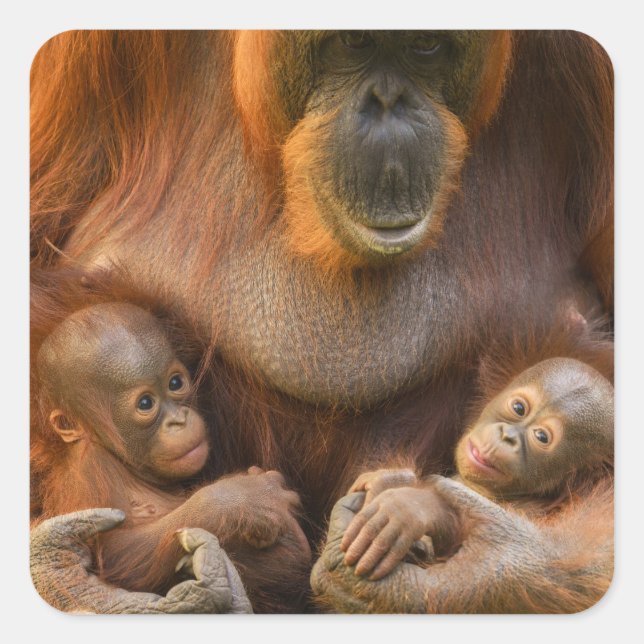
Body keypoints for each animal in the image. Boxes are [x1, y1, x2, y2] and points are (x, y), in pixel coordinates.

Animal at [339, 358, 614, 582]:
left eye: (542, 437)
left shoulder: (533, 508)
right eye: (519, 408)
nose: (507, 436)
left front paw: (410, 508)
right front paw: (388, 480)